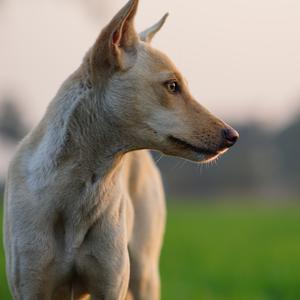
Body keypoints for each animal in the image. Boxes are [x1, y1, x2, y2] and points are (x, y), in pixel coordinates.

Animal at [2, 1, 239, 298]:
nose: (233, 136)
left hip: (144, 273)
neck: (78, 190)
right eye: (172, 86)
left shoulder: (110, 285)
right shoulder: (31, 286)